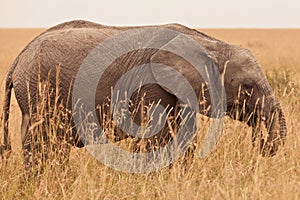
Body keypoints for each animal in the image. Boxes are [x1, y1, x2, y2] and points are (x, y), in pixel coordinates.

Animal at [0, 19, 286, 171]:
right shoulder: (152, 88)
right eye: (247, 87)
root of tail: (19, 58)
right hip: (38, 93)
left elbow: (182, 138)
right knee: (42, 145)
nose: (262, 144)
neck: (210, 44)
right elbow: (155, 140)